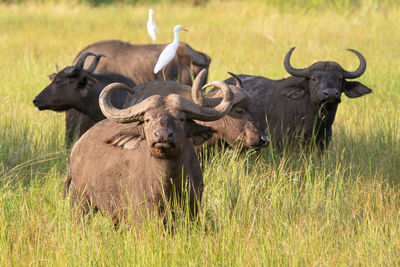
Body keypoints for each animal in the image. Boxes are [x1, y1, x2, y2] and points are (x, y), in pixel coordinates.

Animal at [64, 75, 234, 226]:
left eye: (181, 119)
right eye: (147, 119)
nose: (162, 135)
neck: (168, 182)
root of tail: (77, 146)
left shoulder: (193, 208)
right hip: (80, 201)